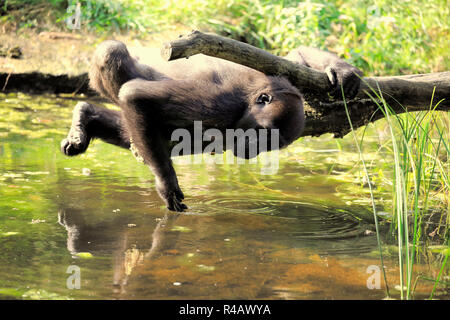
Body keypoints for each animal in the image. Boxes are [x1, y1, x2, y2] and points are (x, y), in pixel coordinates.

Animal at [60, 40, 362, 211]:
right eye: (262, 134)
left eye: (271, 145)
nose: (253, 150)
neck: (247, 103)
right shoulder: (217, 101)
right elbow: (136, 96)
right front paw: (167, 185)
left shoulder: (284, 80)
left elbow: (292, 57)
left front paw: (343, 70)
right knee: (113, 54)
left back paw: (86, 117)